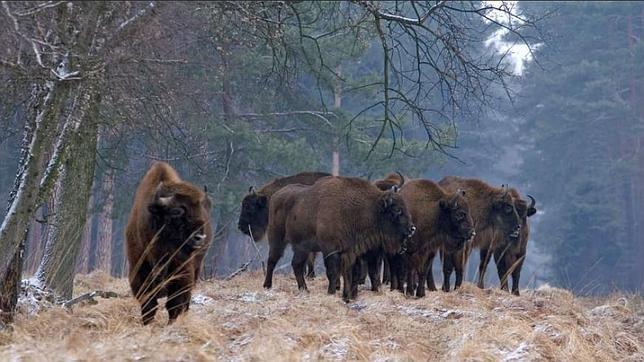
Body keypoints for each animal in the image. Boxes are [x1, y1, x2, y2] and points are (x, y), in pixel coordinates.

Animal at [126, 161, 214, 326]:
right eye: (176, 211)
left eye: (200, 210)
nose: (199, 237)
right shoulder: (139, 269)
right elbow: (149, 303)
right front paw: (147, 323)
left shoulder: (182, 272)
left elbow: (175, 303)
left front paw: (172, 323)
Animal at [264, 177, 416, 302]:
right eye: (396, 210)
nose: (412, 229)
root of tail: (276, 196)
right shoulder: (331, 249)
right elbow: (333, 271)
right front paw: (332, 292)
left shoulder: (351, 251)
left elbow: (351, 272)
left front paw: (348, 296)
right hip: (277, 239)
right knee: (272, 260)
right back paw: (267, 285)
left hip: (302, 248)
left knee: (296, 264)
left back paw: (304, 290)